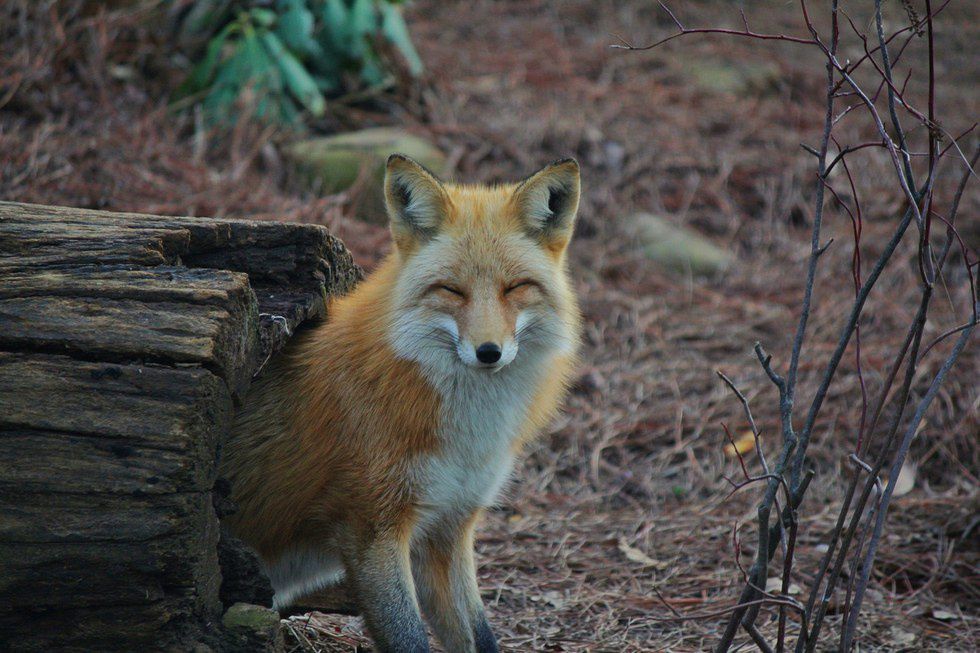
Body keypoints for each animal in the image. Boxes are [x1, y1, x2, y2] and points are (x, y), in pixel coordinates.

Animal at [220, 154, 580, 652]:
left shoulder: (448, 528)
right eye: (452, 290)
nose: (489, 352)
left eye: (515, 287)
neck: (469, 434)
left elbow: (479, 635)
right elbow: (408, 637)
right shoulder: (372, 528)